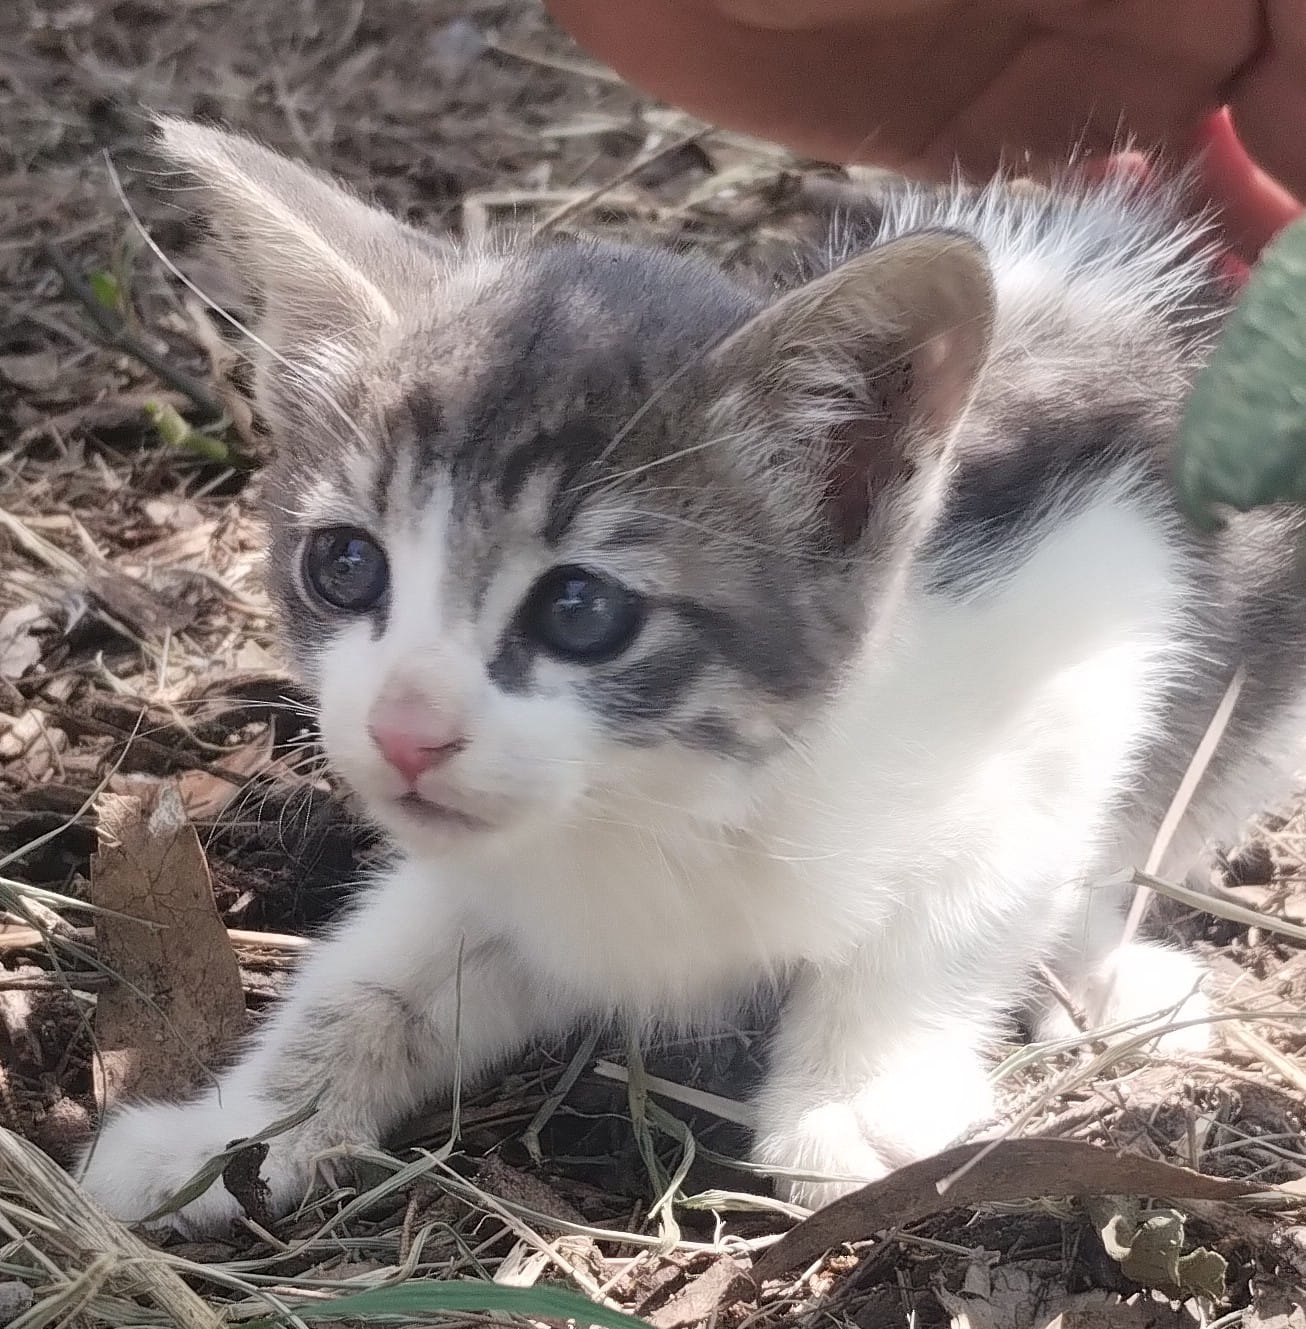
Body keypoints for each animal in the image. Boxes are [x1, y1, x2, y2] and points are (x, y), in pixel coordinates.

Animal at [76, 119, 1306, 1227]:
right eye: (344, 564)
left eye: (580, 610)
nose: (405, 732)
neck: (669, 798)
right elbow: (377, 977)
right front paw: (225, 1133)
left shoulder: (1073, 645)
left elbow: (966, 908)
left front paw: (855, 1098)